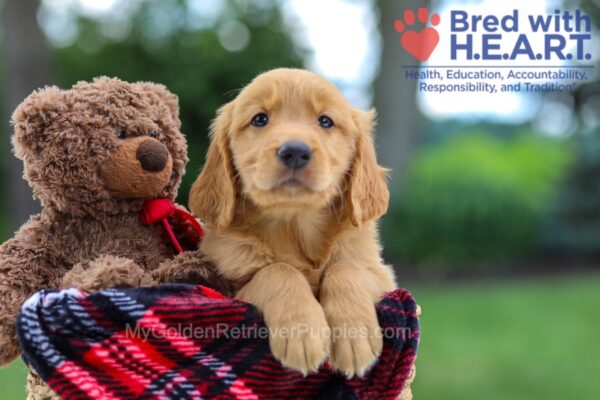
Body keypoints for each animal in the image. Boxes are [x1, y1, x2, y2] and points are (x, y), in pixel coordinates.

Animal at [190, 67, 396, 376]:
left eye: (325, 121)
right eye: (260, 119)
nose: (296, 151)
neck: (294, 227)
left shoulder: (381, 275)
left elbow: (347, 268)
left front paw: (354, 337)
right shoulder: (231, 289)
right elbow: (278, 270)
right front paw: (301, 333)